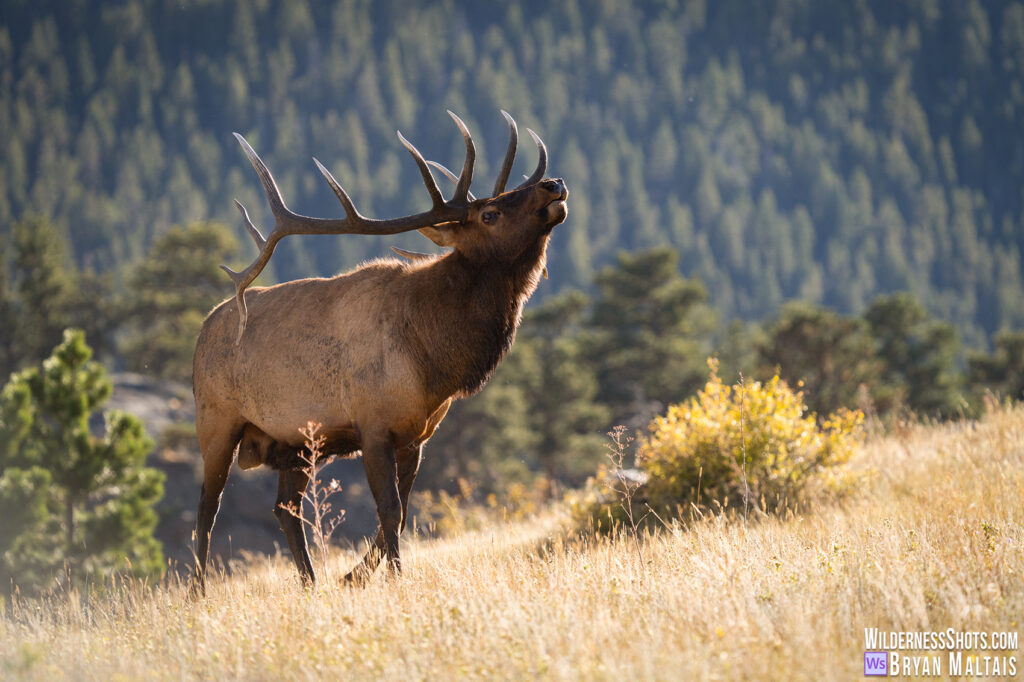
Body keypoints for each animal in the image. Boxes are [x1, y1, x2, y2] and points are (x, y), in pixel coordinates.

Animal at [190, 110, 568, 593]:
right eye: (490, 212)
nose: (553, 183)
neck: (433, 358)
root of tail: (203, 330)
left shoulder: (417, 435)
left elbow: (403, 512)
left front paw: (353, 576)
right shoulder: (373, 426)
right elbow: (389, 510)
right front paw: (394, 578)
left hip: (294, 443)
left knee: (286, 509)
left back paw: (311, 583)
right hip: (217, 420)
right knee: (208, 506)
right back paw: (197, 592)